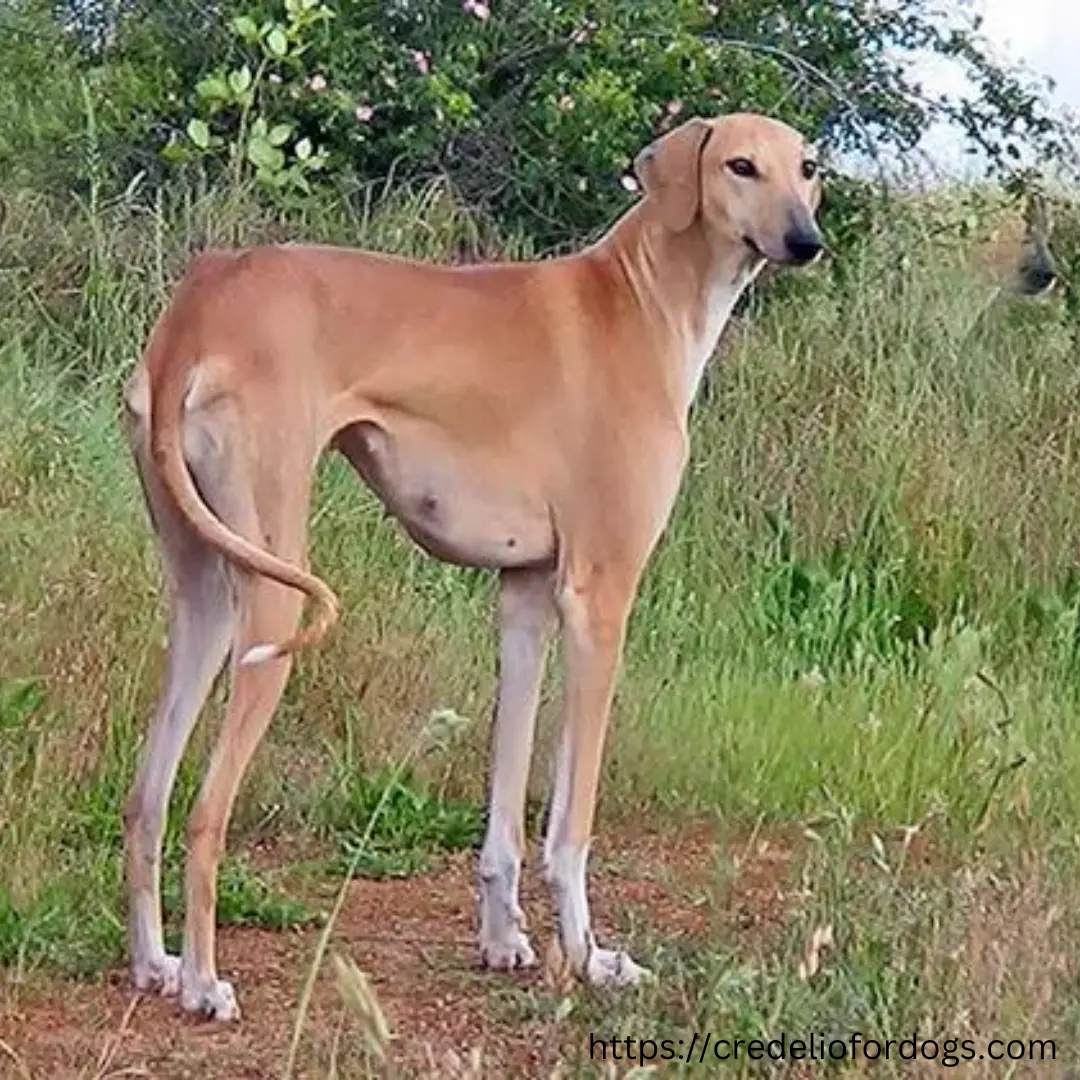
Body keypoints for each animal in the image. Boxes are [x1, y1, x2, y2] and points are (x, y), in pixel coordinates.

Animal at [118, 111, 820, 1019]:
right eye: (741, 166)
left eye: (808, 169)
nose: (806, 240)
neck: (641, 296)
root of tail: (200, 302)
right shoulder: (599, 600)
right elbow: (570, 825)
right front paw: (588, 959)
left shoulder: (525, 600)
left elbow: (506, 811)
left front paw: (503, 940)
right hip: (273, 599)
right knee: (206, 814)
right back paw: (204, 983)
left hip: (205, 594)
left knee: (146, 798)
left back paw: (155, 963)